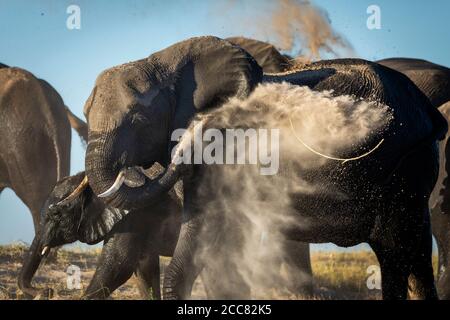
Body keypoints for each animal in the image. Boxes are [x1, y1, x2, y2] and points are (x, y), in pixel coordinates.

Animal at [81, 37, 446, 300]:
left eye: (139, 120)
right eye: (85, 114)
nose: (125, 171)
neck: (164, 61)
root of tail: (429, 111)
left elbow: (205, 233)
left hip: (406, 166)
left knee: (397, 252)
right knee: (410, 256)